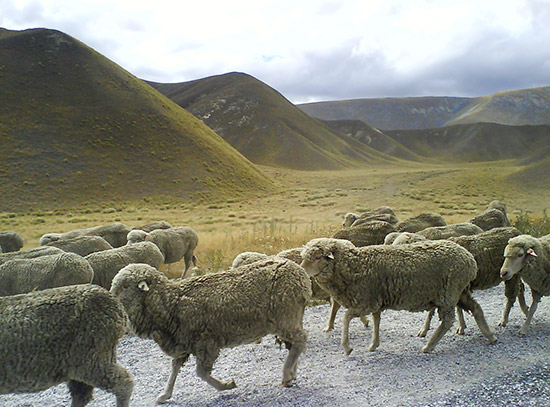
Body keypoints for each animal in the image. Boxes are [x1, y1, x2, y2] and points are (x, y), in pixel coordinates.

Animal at [111, 262, 314, 404]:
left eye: (125, 286)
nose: (111, 299)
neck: (170, 303)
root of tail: (301, 275)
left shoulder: (206, 342)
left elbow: (201, 373)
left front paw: (226, 386)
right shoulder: (183, 341)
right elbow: (174, 368)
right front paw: (165, 394)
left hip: (285, 315)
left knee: (300, 340)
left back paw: (286, 375)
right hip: (292, 316)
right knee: (295, 345)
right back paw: (292, 374)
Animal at [300, 237, 498, 356]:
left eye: (317, 257)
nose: (301, 270)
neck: (354, 265)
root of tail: (470, 259)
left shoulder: (367, 301)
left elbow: (347, 317)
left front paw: (347, 347)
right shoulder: (376, 301)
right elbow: (376, 320)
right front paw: (374, 344)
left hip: (449, 293)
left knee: (448, 320)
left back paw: (429, 346)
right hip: (459, 291)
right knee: (476, 308)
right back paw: (490, 336)